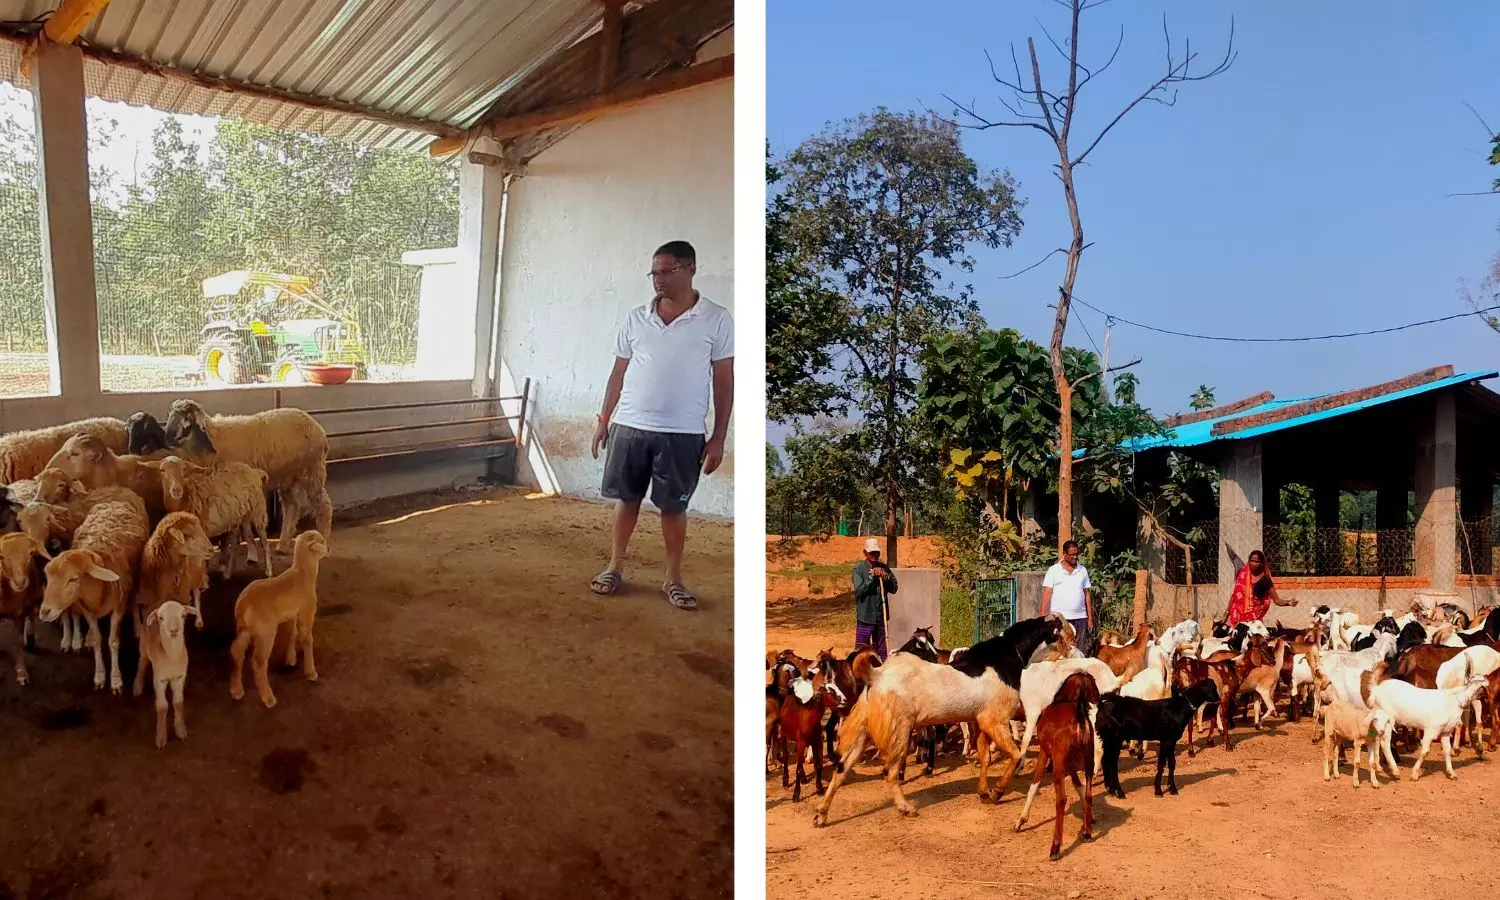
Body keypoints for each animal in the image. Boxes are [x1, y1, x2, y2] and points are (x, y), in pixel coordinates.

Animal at [132, 600, 198, 750]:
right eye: (161, 618)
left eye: (184, 615)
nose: (174, 630)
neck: (171, 657)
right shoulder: (159, 680)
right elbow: (162, 707)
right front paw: (161, 737)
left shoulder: (180, 677)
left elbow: (178, 702)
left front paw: (181, 730)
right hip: (144, 646)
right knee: (141, 664)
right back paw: (137, 687)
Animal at [142, 456, 270, 576]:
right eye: (162, 470)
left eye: (184, 469)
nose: (176, 490)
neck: (186, 497)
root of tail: (254, 471)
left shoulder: (201, 531)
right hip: (240, 514)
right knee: (237, 538)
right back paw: (228, 572)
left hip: (258, 508)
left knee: (263, 537)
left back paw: (268, 571)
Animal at [165, 402, 333, 549]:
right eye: (171, 416)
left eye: (187, 418)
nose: (168, 438)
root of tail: (318, 428)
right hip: (288, 478)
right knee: (291, 507)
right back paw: (282, 545)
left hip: (312, 472)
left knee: (323, 506)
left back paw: (323, 542)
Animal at [228, 528, 328, 711]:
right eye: (322, 541)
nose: (327, 548)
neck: (303, 572)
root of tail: (243, 604)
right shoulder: (307, 612)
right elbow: (307, 638)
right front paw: (311, 672)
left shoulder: (292, 614)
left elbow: (292, 634)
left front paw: (291, 659)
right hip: (265, 632)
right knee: (258, 662)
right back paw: (268, 698)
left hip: (244, 628)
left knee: (236, 651)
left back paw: (236, 690)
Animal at [1008, 672, 1104, 864]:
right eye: (1093, 682)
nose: (1098, 698)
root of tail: (1078, 717)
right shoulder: (1071, 763)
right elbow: (1079, 787)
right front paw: (1090, 818)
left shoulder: (1046, 753)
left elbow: (1034, 785)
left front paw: (1021, 820)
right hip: (1086, 760)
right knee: (1088, 793)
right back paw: (1087, 833)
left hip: (1058, 765)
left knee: (1061, 800)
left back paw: (1055, 847)